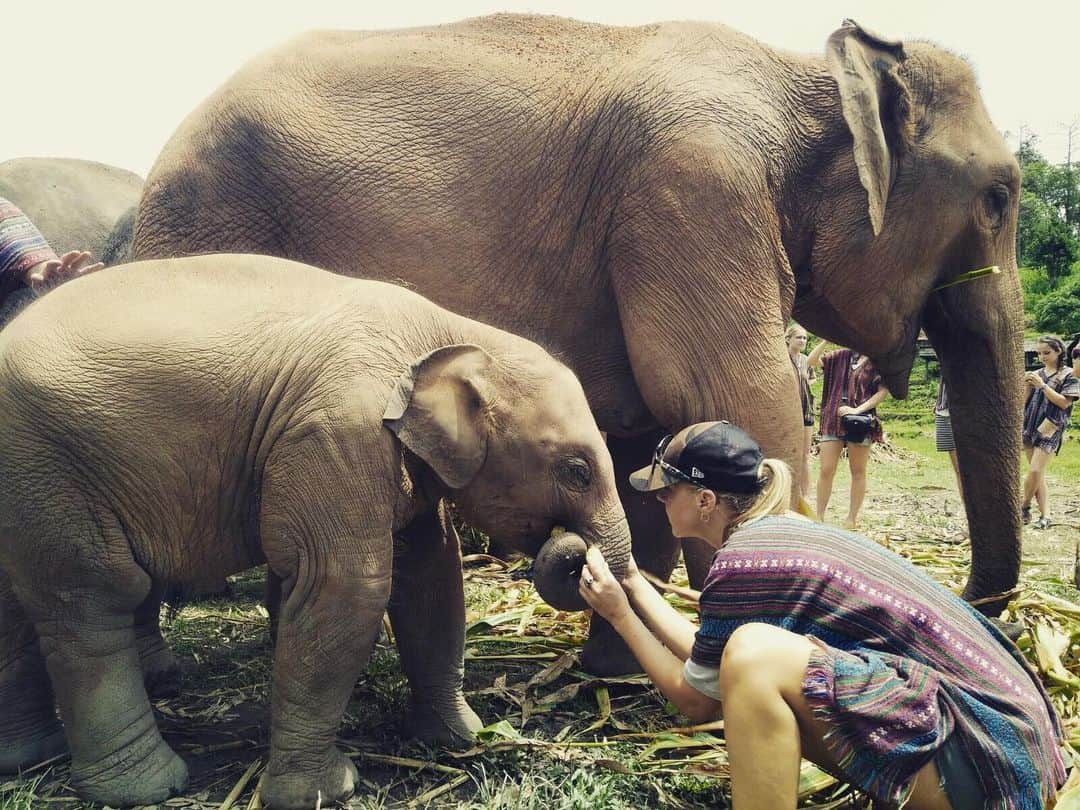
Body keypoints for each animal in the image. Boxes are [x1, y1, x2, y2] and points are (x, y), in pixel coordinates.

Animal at [0, 254, 630, 810]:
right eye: (577, 471)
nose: (575, 554)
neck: (450, 331)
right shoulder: (339, 431)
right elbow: (347, 588)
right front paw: (324, 793)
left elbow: (431, 576)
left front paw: (461, 737)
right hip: (48, 470)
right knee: (92, 597)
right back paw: (147, 788)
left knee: (18, 610)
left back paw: (31, 755)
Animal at [132, 15, 1019, 665]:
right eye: (1001, 198)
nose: (984, 607)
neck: (801, 74)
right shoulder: (691, 189)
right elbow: (734, 395)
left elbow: (648, 429)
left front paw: (615, 671)